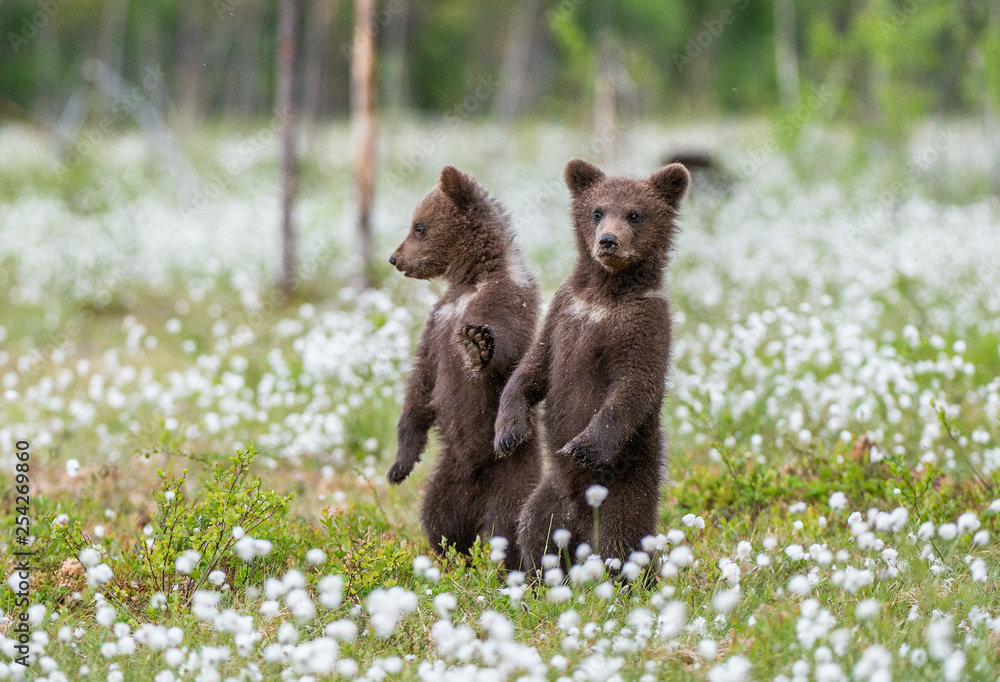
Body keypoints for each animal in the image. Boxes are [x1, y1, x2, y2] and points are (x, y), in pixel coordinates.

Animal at [387, 165, 542, 570]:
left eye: (419, 226)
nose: (394, 258)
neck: (471, 280)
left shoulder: (508, 302)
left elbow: (507, 352)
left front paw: (476, 347)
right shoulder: (439, 321)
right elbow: (421, 384)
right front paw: (399, 465)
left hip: (514, 470)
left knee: (509, 521)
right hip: (446, 478)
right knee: (438, 519)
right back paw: (452, 557)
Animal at [493, 157, 690, 573]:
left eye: (635, 213)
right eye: (597, 211)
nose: (608, 240)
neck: (604, 295)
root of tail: (580, 526)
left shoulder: (645, 326)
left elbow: (632, 386)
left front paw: (582, 446)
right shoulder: (564, 313)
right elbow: (532, 369)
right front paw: (508, 432)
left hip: (627, 488)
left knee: (621, 540)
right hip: (550, 496)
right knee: (533, 526)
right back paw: (537, 575)